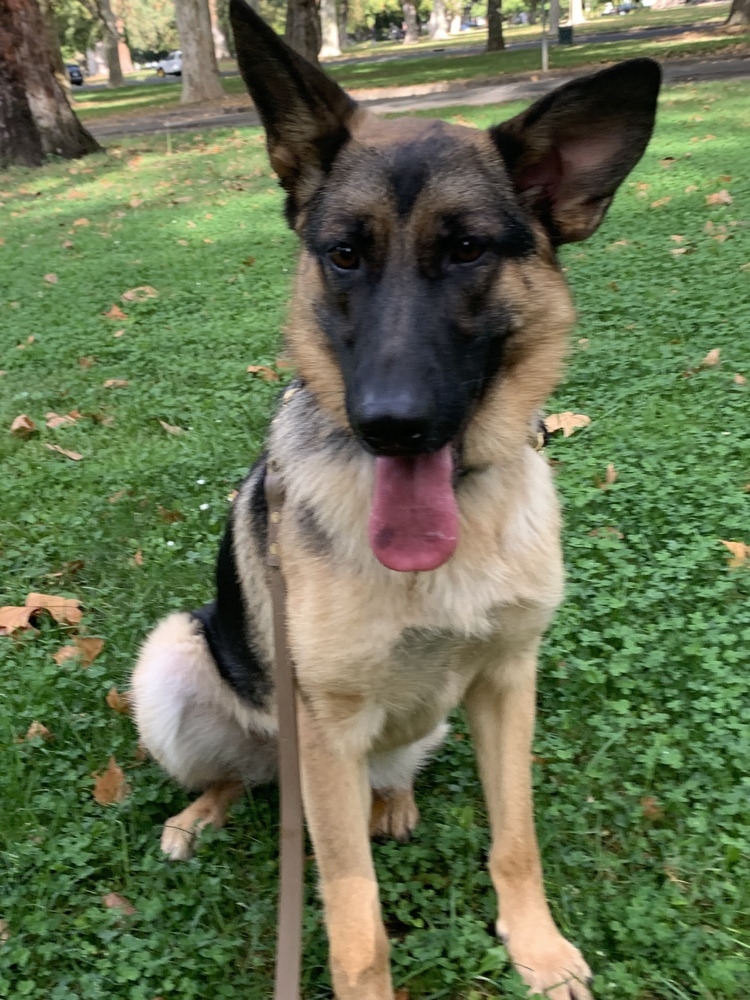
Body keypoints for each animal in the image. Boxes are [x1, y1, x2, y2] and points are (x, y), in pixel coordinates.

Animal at [132, 1, 660, 992]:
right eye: (345, 256)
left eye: (467, 250)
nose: (391, 425)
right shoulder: (328, 732)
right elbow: (355, 918)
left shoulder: (507, 683)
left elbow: (516, 840)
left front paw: (537, 948)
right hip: (181, 663)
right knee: (238, 775)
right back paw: (200, 812)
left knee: (389, 772)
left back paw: (394, 802)